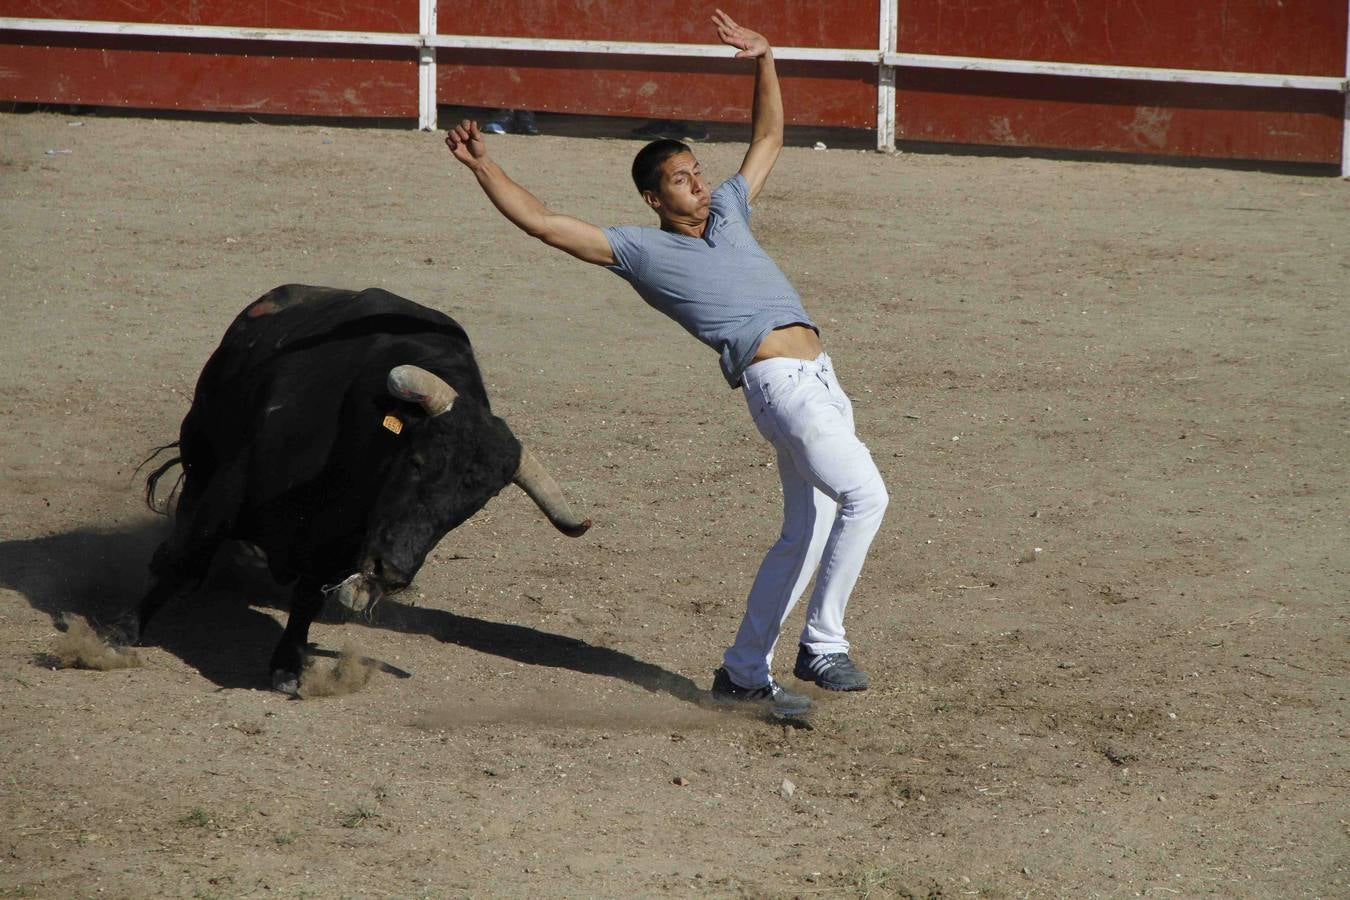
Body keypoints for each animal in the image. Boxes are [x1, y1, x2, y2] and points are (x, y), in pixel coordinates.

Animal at [113, 284, 591, 695]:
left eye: (469, 508)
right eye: (417, 462)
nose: (391, 572)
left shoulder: (338, 545)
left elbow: (308, 598)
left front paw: (287, 669)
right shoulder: (232, 487)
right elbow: (186, 554)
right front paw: (122, 633)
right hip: (200, 451)